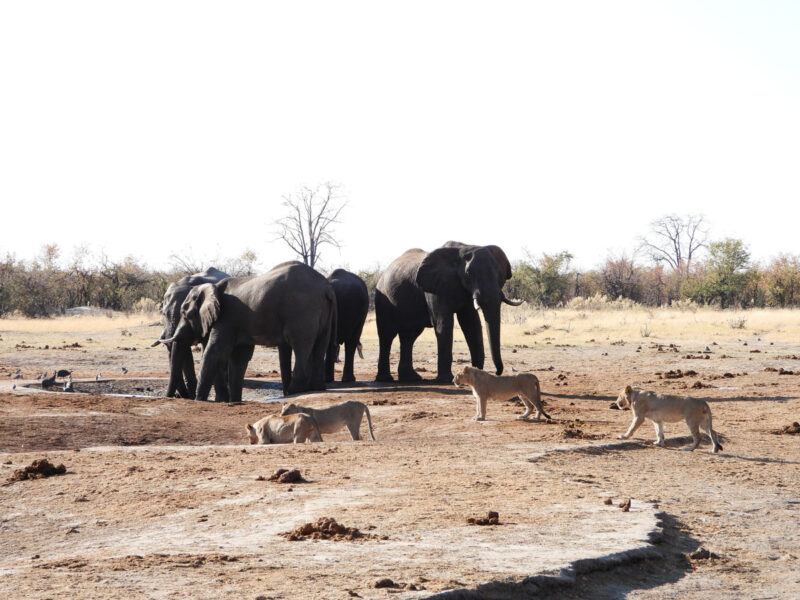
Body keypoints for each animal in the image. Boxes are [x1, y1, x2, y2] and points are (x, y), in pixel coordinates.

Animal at [375, 241, 522, 384]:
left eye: (499, 272)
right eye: (468, 273)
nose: (497, 372)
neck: (464, 248)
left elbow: (471, 323)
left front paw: (476, 374)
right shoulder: (435, 288)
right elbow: (443, 322)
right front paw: (445, 380)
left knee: (409, 336)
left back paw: (411, 378)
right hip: (383, 299)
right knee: (387, 335)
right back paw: (385, 379)